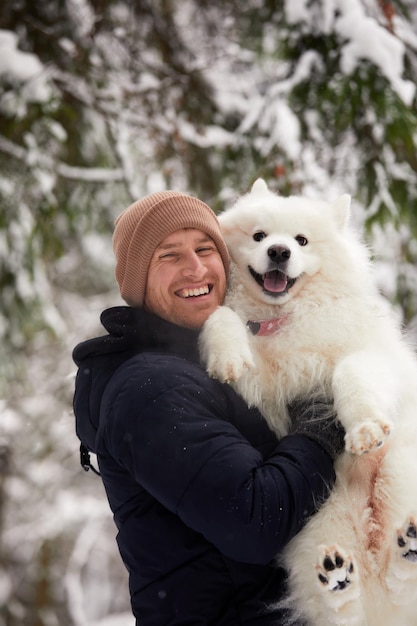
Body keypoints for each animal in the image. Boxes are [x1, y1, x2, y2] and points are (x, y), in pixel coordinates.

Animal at [198, 179, 416, 624]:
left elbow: (351, 376)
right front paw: (227, 355)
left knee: (400, 577)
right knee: (350, 605)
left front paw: (364, 429)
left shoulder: (368, 356)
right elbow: (223, 319)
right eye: (259, 236)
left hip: (400, 469)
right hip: (311, 528)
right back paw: (340, 577)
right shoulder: (264, 387)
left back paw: (406, 545)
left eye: (301, 241)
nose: (279, 252)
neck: (285, 319)